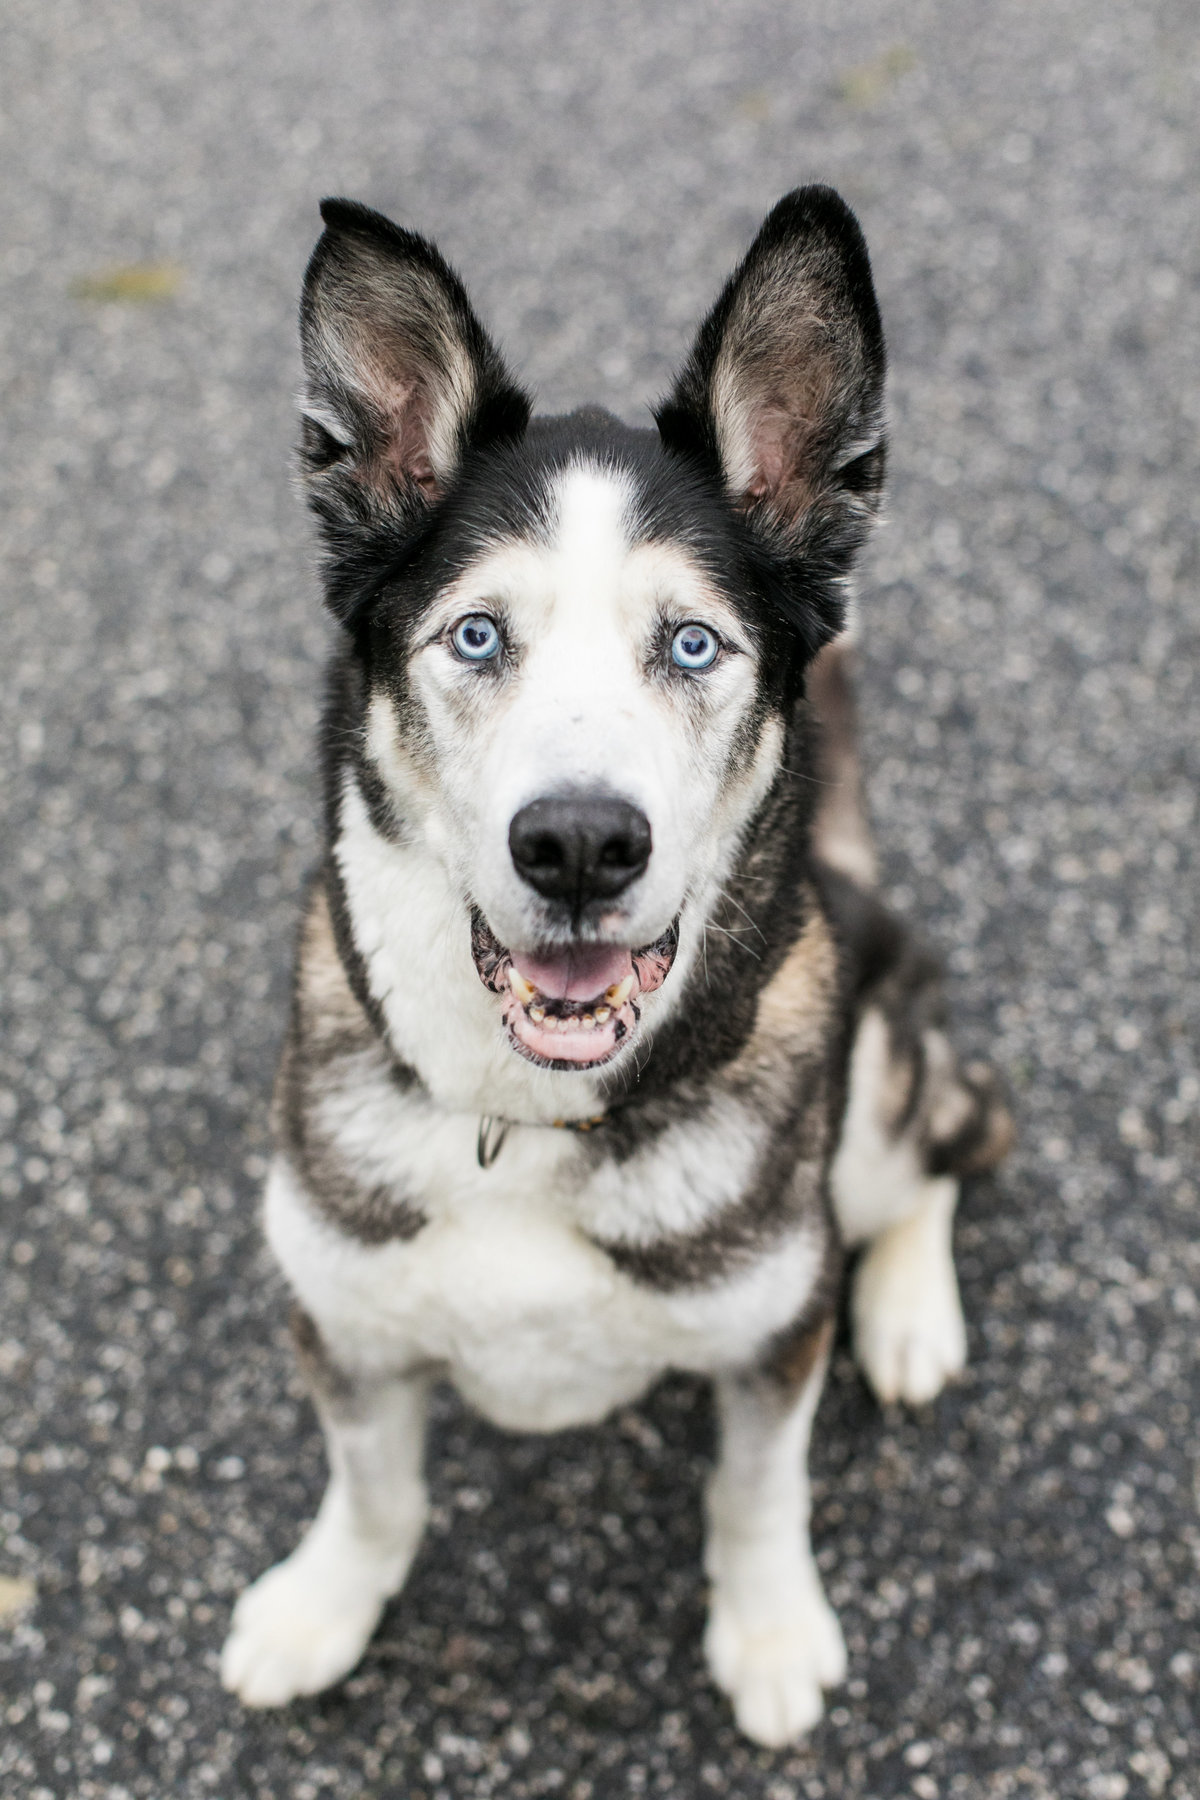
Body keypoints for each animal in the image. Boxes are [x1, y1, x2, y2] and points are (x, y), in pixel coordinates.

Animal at [220, 186, 1007, 1742]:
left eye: (692, 645)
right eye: (476, 636)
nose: (580, 845)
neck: (519, 1123)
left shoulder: (770, 1337)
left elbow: (757, 1493)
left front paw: (768, 1632)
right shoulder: (343, 1323)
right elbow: (374, 1492)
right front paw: (326, 1603)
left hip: (885, 1074)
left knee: (953, 1136)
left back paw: (908, 1313)